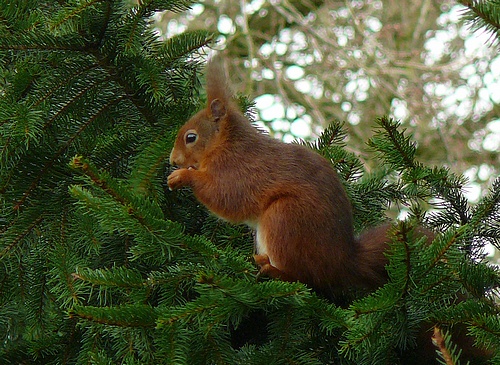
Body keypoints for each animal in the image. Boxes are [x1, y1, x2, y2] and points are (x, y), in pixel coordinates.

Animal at [168, 58, 394, 300]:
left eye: (191, 137)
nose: (172, 160)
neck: (225, 144)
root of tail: (343, 262)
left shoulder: (237, 171)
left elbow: (225, 197)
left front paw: (182, 176)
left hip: (285, 218)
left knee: (304, 279)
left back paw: (271, 270)